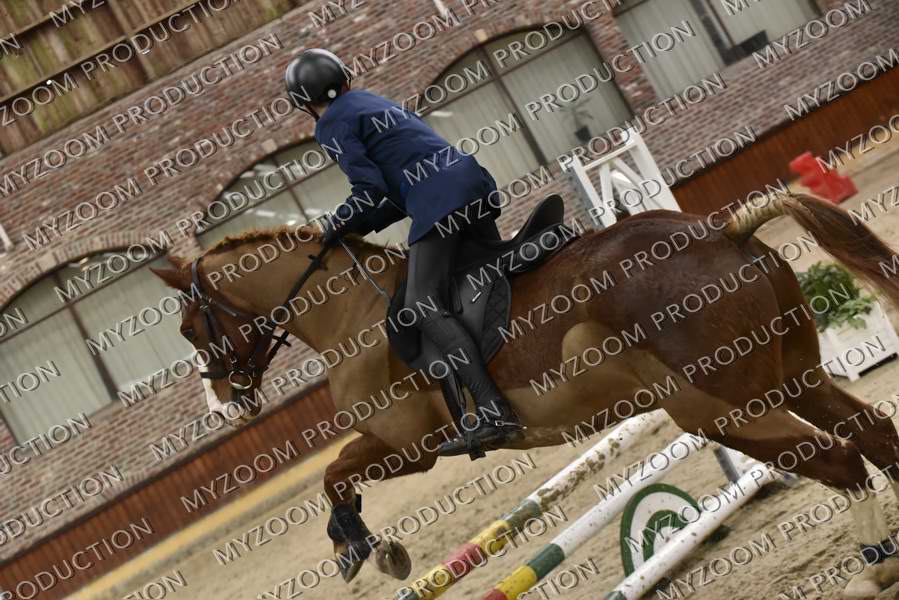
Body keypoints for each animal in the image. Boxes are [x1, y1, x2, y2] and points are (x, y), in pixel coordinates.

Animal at [152, 192, 899, 599]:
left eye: (190, 328)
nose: (228, 403)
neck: (346, 309)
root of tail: (723, 231)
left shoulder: (411, 446)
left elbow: (334, 474)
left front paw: (361, 548)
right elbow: (336, 473)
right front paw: (363, 545)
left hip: (720, 408)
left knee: (839, 459)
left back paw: (870, 570)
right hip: (791, 378)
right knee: (872, 434)